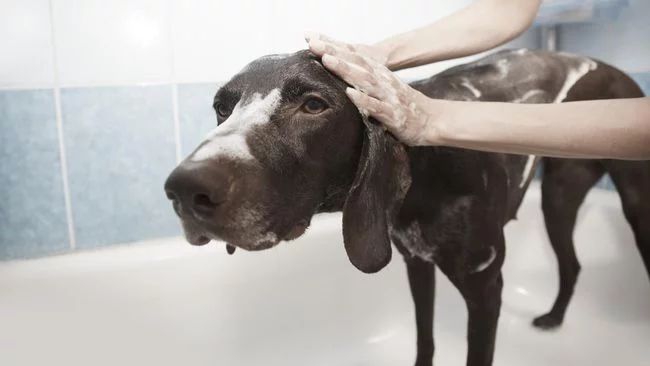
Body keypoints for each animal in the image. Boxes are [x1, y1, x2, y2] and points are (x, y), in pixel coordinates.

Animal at [163, 49, 648, 366]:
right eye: (222, 108)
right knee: (571, 264)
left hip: (624, 203)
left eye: (314, 104)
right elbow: (425, 339)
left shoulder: (485, 290)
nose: (184, 190)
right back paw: (555, 317)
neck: (429, 171)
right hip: (558, 198)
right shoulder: (417, 264)